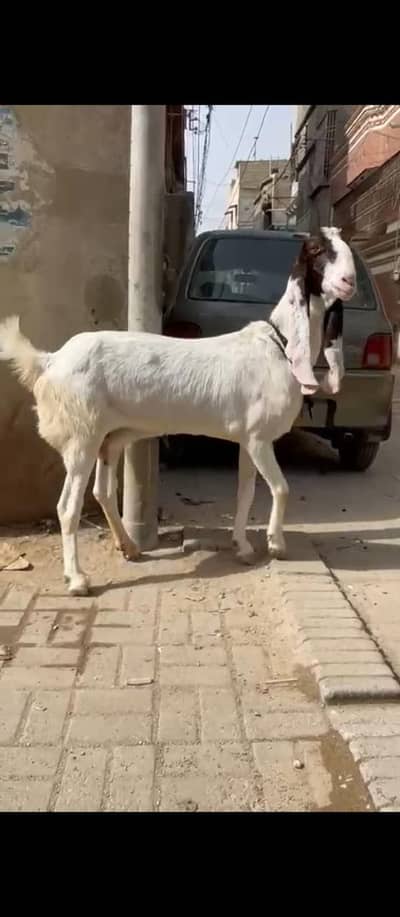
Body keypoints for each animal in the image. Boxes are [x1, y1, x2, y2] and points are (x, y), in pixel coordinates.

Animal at [0, 227, 356, 595]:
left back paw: (128, 546)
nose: (349, 281)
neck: (279, 345)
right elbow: (282, 487)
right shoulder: (259, 439)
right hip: (81, 437)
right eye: (317, 250)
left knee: (102, 491)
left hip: (109, 438)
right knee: (67, 507)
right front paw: (275, 544)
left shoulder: (249, 439)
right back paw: (77, 579)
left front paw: (243, 547)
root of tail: (50, 360)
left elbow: (245, 492)